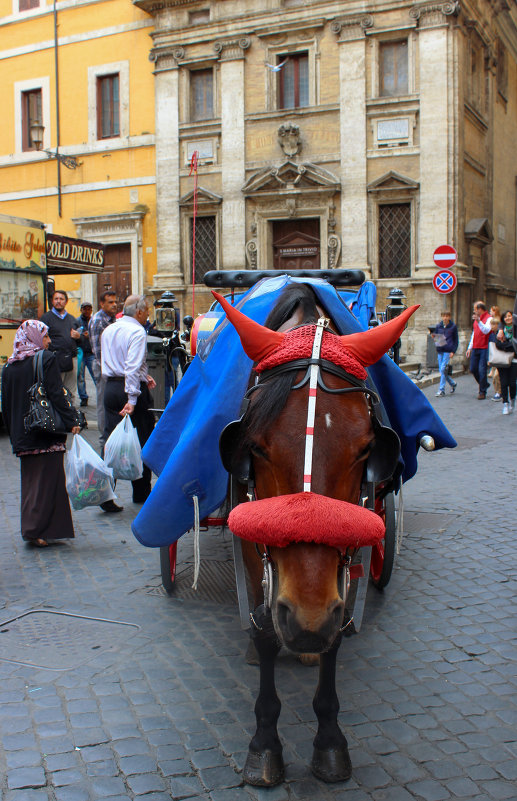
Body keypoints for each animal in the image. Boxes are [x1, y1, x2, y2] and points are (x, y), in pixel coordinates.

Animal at [212, 284, 418, 784]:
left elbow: (337, 633)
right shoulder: (252, 540)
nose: (307, 619)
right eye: (255, 448)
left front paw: (329, 739)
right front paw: (264, 744)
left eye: (366, 449)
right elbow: (267, 629)